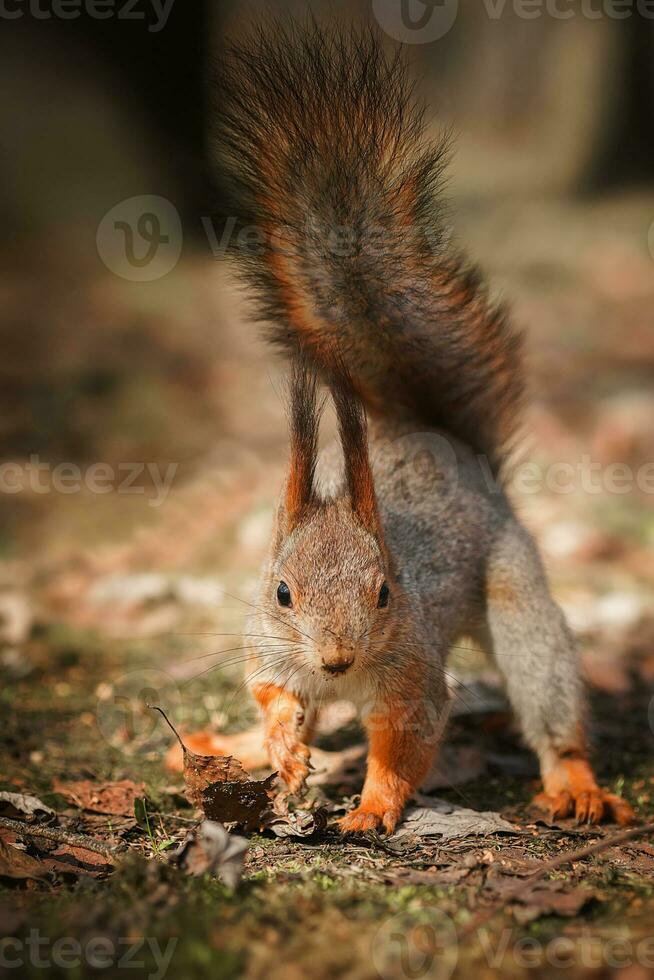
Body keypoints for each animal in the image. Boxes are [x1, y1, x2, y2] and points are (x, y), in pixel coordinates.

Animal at [187, 23, 640, 832]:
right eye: (281, 592)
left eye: (385, 592)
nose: (336, 661)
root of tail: (440, 444)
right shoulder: (265, 646)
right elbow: (273, 695)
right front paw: (281, 748)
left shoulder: (413, 678)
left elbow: (404, 745)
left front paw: (371, 808)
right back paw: (236, 744)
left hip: (518, 598)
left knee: (548, 696)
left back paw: (575, 782)